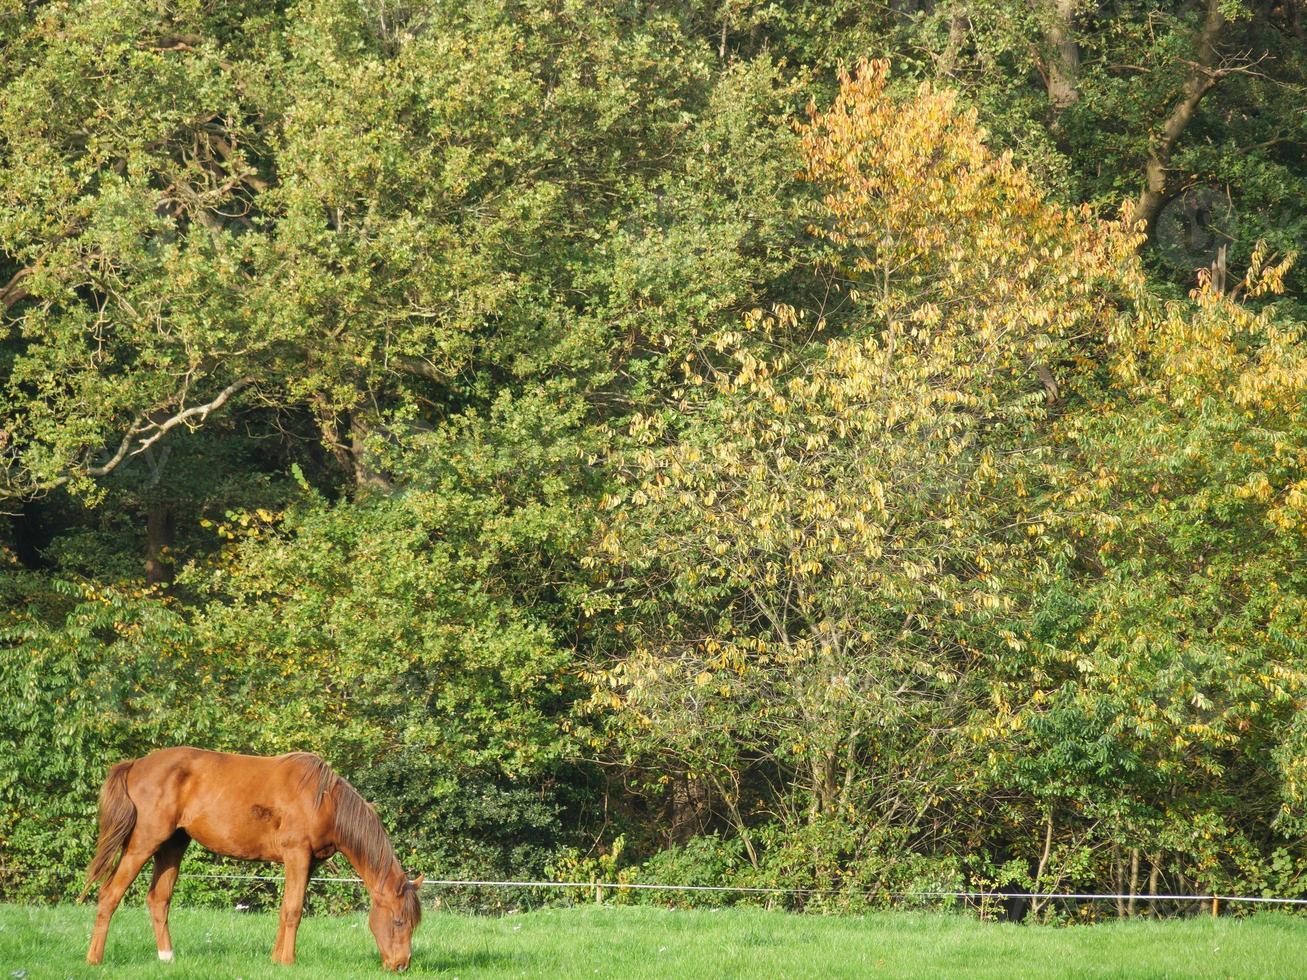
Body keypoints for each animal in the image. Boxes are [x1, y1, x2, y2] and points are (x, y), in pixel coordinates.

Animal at [79, 747, 423, 972]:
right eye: (398, 921)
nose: (401, 965)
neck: (324, 800)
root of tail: (136, 764)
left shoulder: (307, 863)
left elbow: (286, 909)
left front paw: (276, 959)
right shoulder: (297, 854)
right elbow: (293, 910)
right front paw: (288, 962)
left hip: (173, 845)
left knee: (158, 900)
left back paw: (167, 958)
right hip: (144, 844)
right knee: (109, 894)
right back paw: (94, 960)